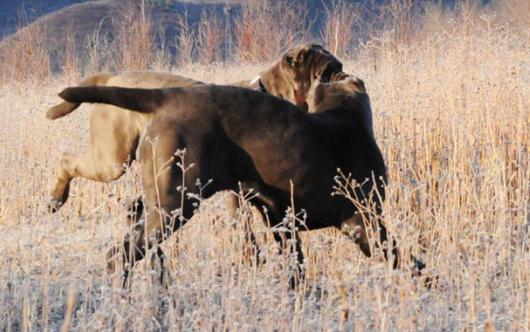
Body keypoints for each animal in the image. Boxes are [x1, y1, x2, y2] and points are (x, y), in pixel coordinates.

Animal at [47, 44, 340, 211]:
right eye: (326, 72)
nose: (341, 73)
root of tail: (111, 77)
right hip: (112, 158)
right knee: (66, 160)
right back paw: (56, 199)